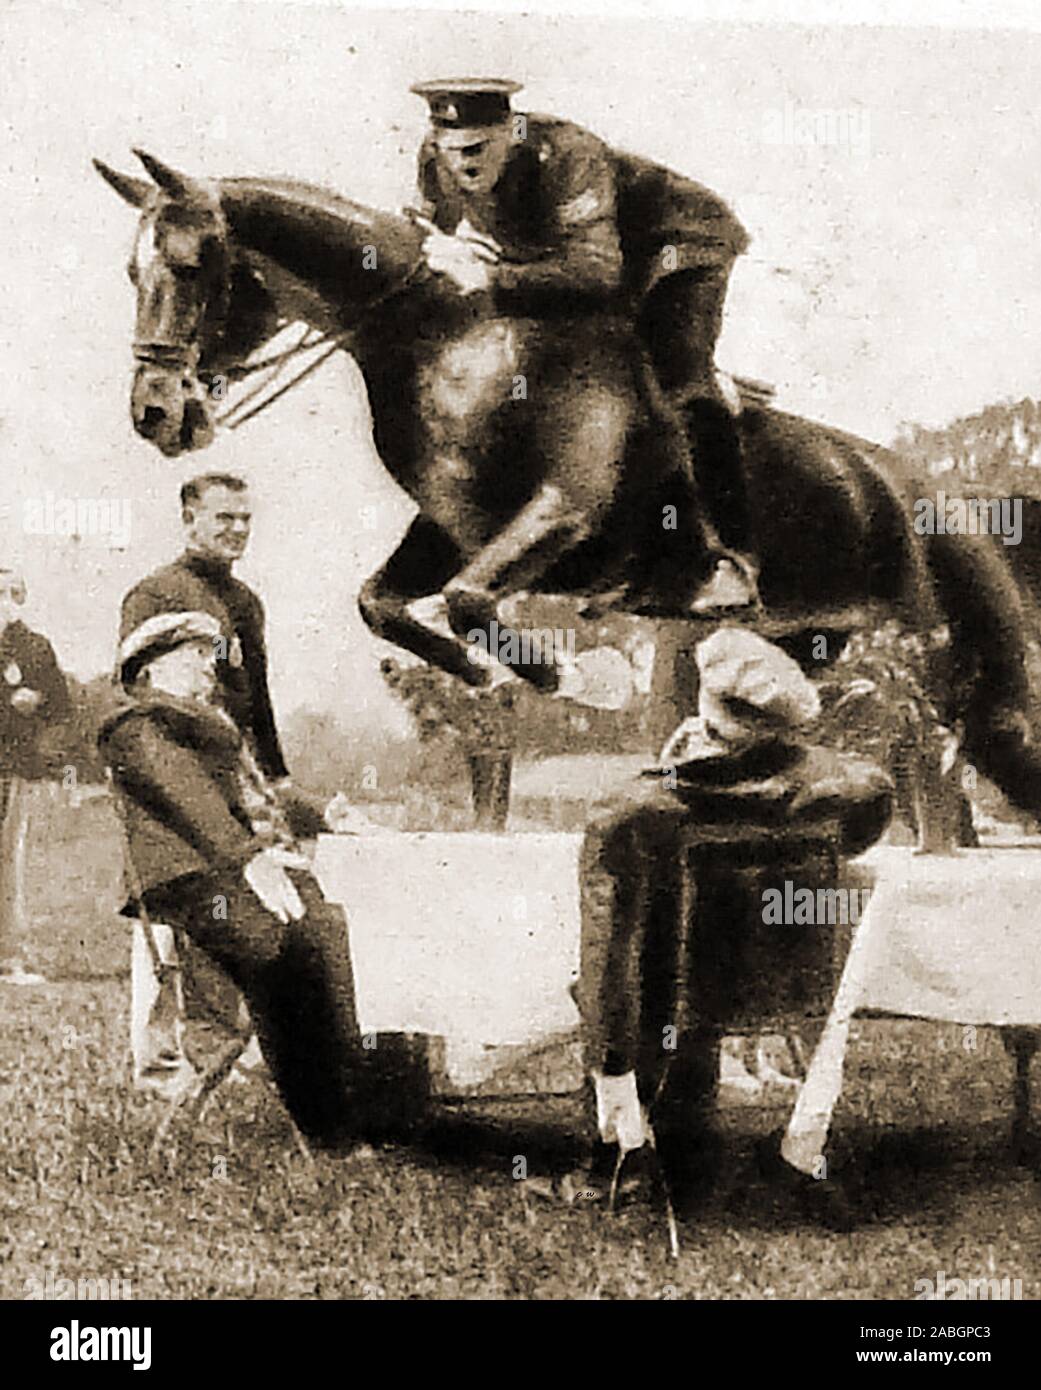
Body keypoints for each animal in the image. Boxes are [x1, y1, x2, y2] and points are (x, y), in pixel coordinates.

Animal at [93, 149, 1039, 822]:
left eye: (190, 264)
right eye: (130, 273)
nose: (155, 413)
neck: (447, 336)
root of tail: (937, 499)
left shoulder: (567, 519)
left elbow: (468, 599)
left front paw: (578, 678)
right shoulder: (452, 527)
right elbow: (384, 603)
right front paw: (493, 681)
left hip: (937, 659)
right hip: (815, 639)